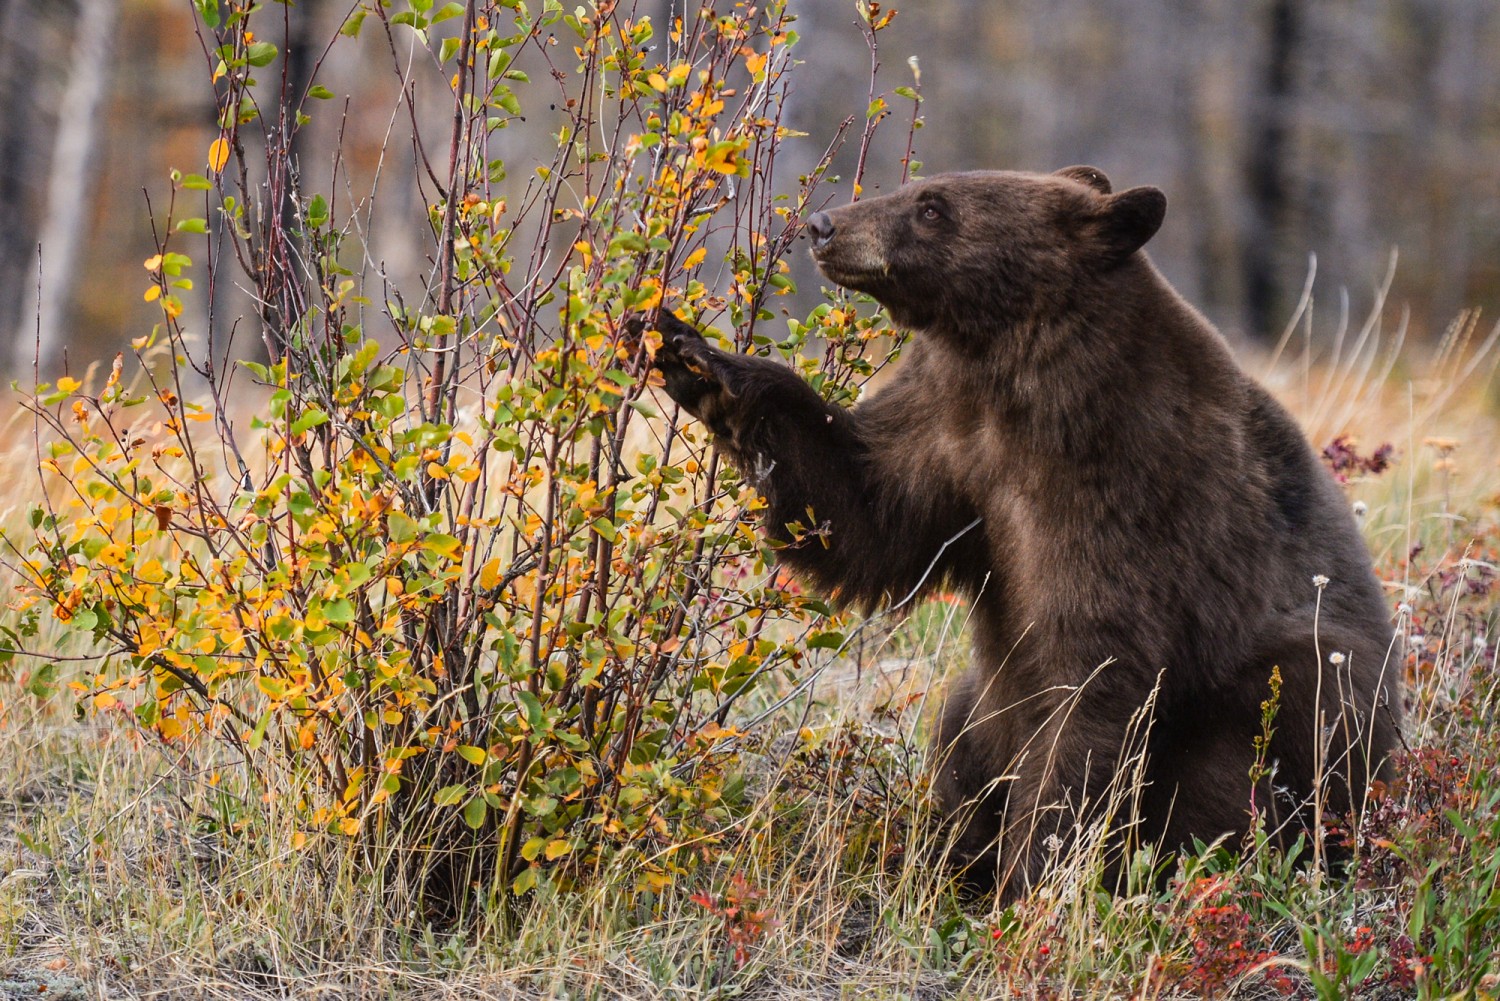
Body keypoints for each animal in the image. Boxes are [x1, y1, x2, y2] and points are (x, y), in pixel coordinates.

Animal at [648, 166, 1404, 900]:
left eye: (933, 206)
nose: (825, 225)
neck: (1018, 377)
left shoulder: (1127, 489)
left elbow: (1089, 675)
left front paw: (1032, 877)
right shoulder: (948, 430)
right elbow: (859, 509)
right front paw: (696, 358)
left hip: (1289, 696)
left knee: (1244, 761)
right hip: (980, 699)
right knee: (959, 732)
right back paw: (952, 851)